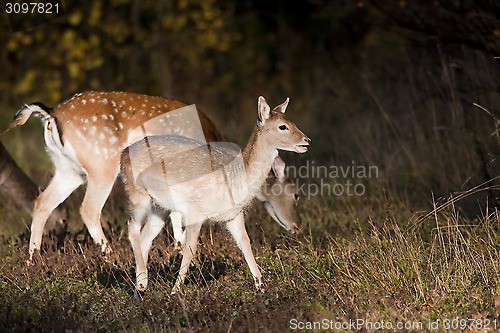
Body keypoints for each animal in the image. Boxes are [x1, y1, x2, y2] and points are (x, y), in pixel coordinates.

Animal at [8, 90, 300, 260]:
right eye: (296, 194)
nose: (297, 228)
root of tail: (51, 114)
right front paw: (179, 246)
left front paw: (177, 245)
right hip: (102, 164)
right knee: (88, 209)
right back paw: (110, 255)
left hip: (68, 169)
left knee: (42, 202)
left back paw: (33, 258)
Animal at [120, 95, 308, 290]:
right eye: (282, 126)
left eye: (292, 122)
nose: (306, 140)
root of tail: (122, 155)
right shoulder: (194, 211)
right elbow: (190, 250)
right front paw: (175, 291)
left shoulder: (233, 215)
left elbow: (246, 243)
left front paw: (261, 286)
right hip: (136, 193)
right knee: (132, 229)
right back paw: (142, 283)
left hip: (159, 207)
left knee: (145, 237)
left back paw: (139, 287)